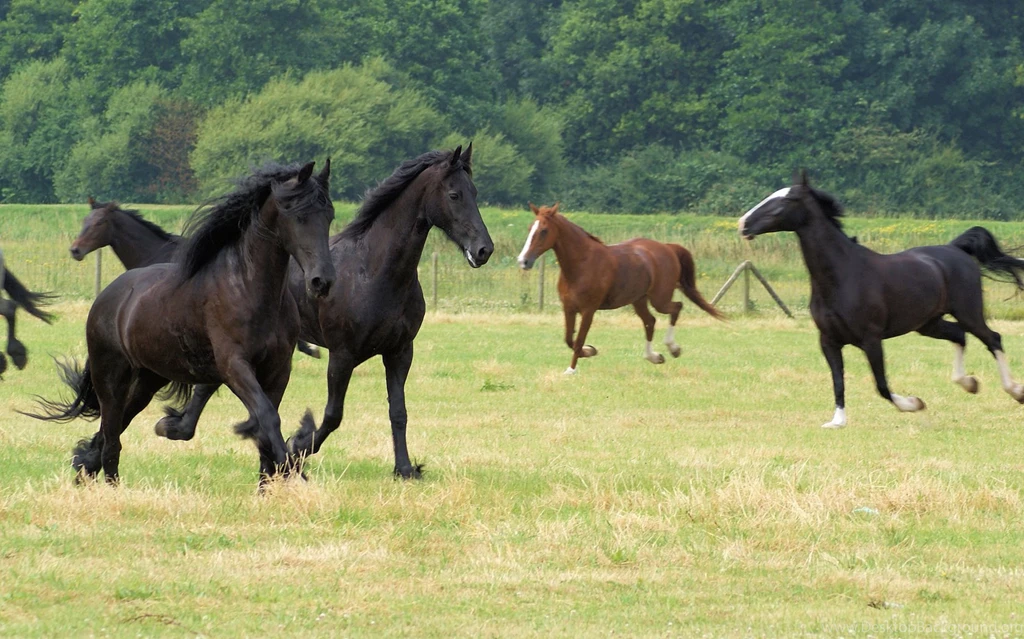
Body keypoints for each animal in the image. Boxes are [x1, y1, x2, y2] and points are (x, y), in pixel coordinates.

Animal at [153, 145, 493, 479]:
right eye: (454, 195)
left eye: (475, 192)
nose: (483, 250)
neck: (373, 272)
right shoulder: (342, 354)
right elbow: (333, 414)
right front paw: (297, 447)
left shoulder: (399, 352)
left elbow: (398, 411)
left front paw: (406, 469)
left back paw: (176, 427)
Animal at [517, 202, 723, 374]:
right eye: (529, 228)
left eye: (544, 230)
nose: (523, 261)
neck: (582, 264)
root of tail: (667, 248)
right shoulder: (569, 308)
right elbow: (569, 339)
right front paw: (590, 351)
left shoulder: (588, 310)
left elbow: (578, 340)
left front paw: (571, 369)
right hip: (639, 300)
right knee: (650, 322)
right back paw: (654, 357)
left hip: (660, 299)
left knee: (676, 308)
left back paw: (673, 348)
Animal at [739, 170, 1024, 429]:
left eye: (786, 200)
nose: (742, 224)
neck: (842, 275)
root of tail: (955, 249)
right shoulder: (828, 341)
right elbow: (838, 381)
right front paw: (837, 421)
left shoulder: (871, 339)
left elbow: (881, 385)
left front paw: (914, 403)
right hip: (928, 323)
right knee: (959, 336)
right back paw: (970, 383)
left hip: (968, 313)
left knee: (992, 339)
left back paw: (1015, 391)